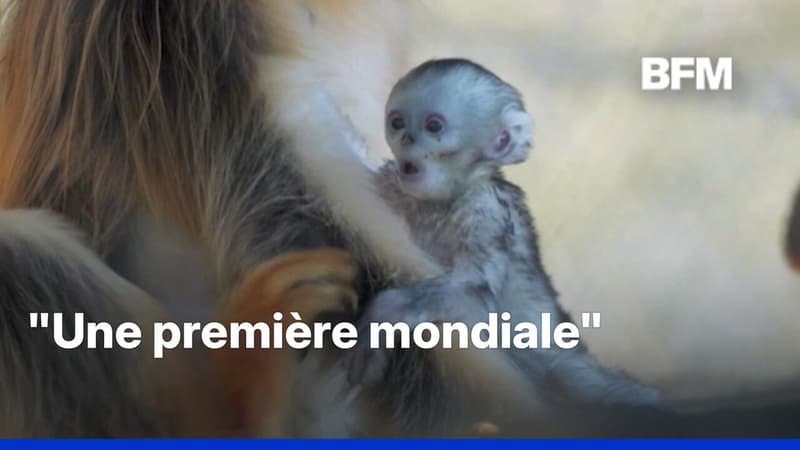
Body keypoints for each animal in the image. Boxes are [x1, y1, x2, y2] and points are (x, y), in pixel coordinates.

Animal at [342, 59, 665, 414]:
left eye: (434, 126)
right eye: (396, 122)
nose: (407, 139)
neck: (441, 202)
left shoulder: (486, 211)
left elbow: (475, 292)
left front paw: (384, 315)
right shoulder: (395, 187)